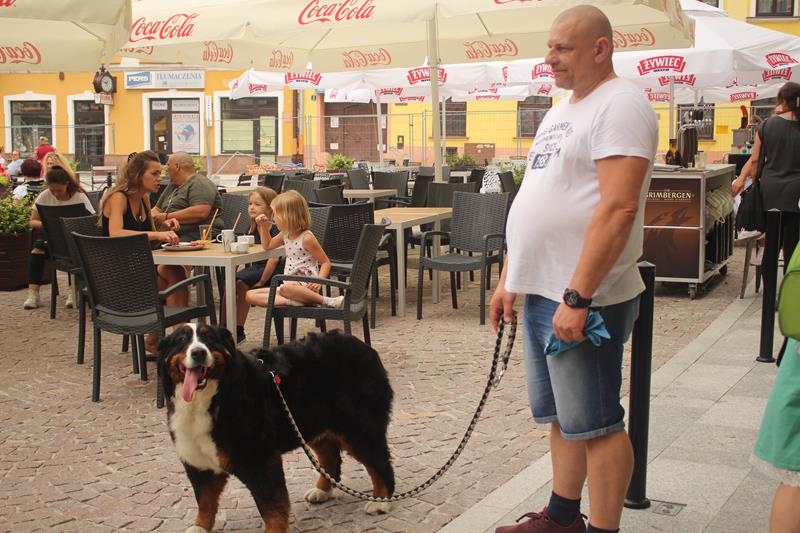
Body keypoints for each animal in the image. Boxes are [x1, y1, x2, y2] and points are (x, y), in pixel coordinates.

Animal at [158, 324, 395, 533]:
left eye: (209, 339)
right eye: (181, 340)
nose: (198, 352)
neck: (209, 399)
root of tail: (363, 345)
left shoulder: (260, 459)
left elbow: (272, 506)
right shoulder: (198, 463)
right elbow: (205, 501)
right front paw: (200, 526)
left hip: (358, 429)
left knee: (380, 463)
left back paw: (381, 501)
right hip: (309, 424)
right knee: (331, 457)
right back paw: (321, 491)